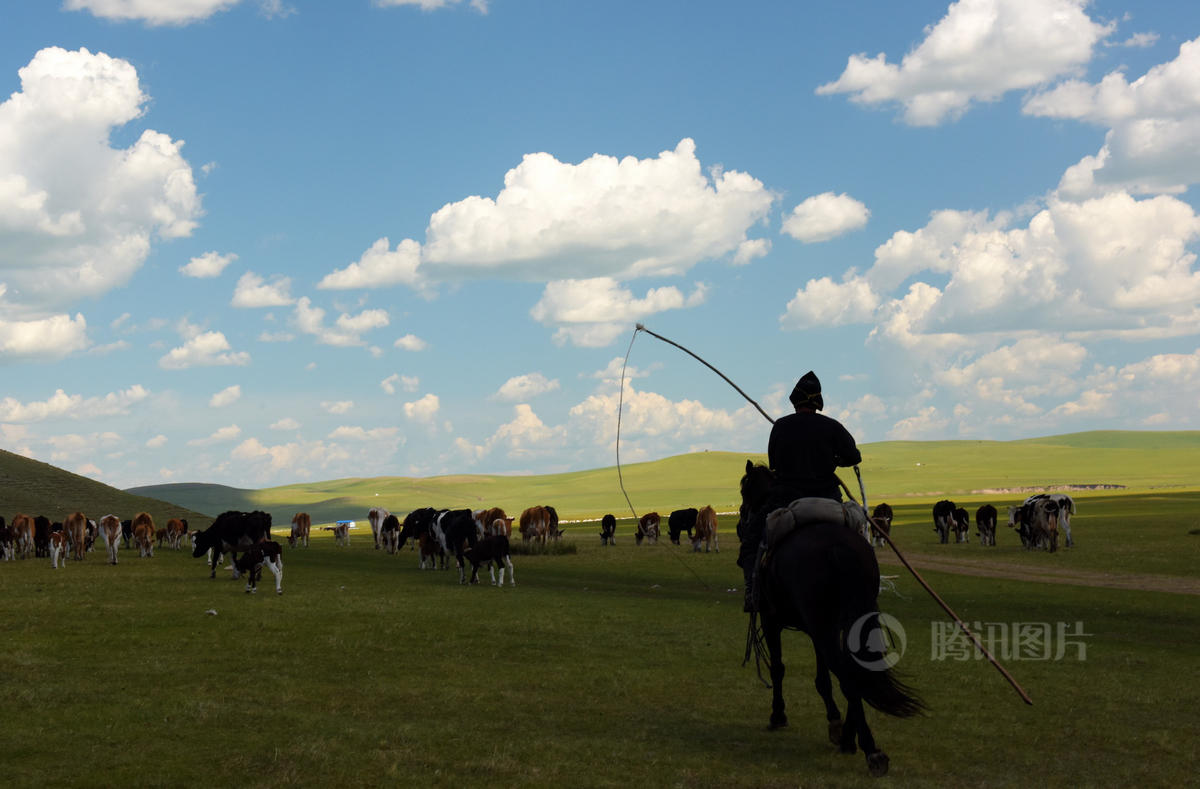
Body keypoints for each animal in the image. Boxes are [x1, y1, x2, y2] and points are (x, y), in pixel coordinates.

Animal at [734, 460, 921, 772]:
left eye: (745, 488)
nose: (740, 523)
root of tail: (837, 548)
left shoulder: (772, 621)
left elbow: (779, 668)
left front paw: (778, 716)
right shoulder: (817, 628)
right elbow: (823, 677)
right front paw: (834, 724)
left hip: (820, 624)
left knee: (848, 675)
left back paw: (869, 750)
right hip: (849, 620)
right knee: (855, 671)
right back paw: (850, 739)